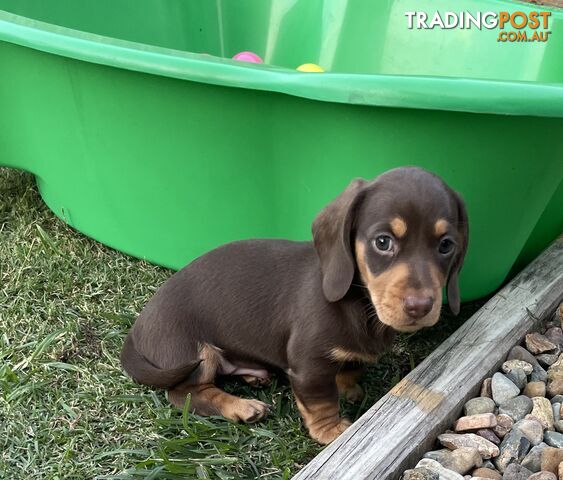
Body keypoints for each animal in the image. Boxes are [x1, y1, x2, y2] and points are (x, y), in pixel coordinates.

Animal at [121, 167, 470, 444]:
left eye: (446, 245)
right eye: (383, 242)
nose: (420, 306)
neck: (359, 304)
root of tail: (136, 332)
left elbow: (351, 367)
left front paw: (348, 387)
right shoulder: (308, 365)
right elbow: (321, 401)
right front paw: (331, 430)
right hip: (195, 352)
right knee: (186, 393)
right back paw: (241, 406)